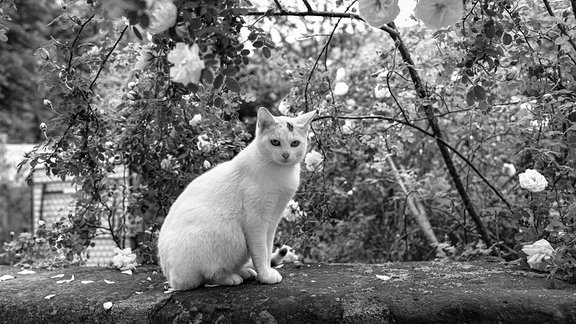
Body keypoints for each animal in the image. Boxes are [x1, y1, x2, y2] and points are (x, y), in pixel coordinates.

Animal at [156, 107, 316, 292]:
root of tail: (171, 278)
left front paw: (266, 271)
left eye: (295, 143)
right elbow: (260, 251)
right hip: (229, 235)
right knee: (205, 278)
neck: (280, 172)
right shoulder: (256, 222)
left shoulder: (273, 219)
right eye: (275, 142)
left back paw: (244, 272)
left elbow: (268, 248)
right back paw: (230, 278)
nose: (285, 154)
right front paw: (265, 276)